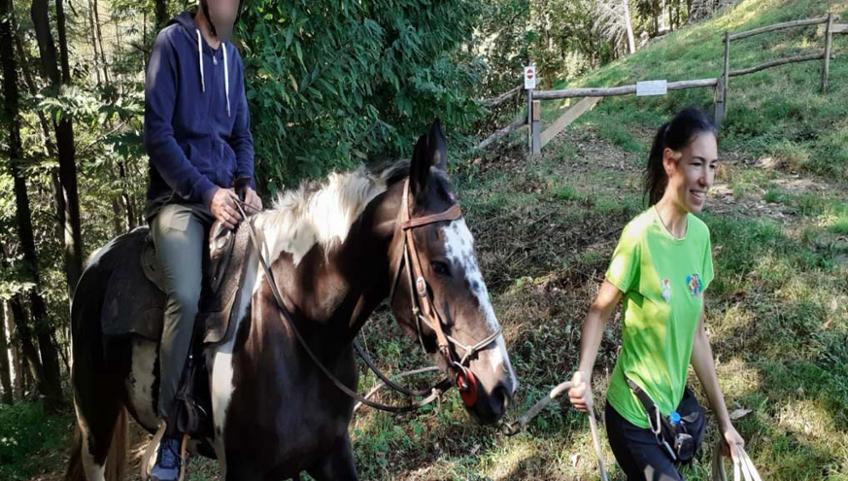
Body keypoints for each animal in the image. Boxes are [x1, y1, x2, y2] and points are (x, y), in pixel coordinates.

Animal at [65, 121, 518, 481]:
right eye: (439, 264)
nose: (501, 386)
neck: (299, 324)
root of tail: (93, 265)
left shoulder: (330, 453)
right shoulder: (245, 472)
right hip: (96, 425)